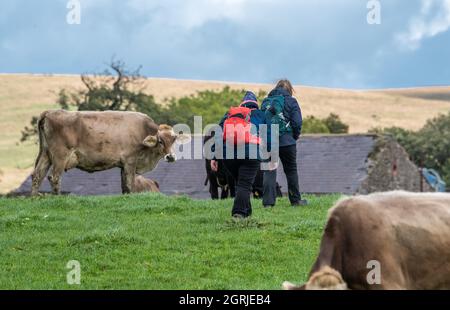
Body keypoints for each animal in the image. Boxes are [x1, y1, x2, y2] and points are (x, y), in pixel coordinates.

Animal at [30, 110, 188, 195]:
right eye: (160, 140)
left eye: (174, 139)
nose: (170, 157)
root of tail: (49, 112)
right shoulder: (130, 161)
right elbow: (130, 184)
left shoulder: (123, 165)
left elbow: (124, 186)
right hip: (60, 156)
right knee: (54, 177)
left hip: (45, 154)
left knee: (37, 176)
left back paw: (35, 197)